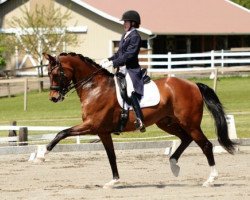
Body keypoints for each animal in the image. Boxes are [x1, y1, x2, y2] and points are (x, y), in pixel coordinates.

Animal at [39, 52, 236, 188]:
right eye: (48, 74)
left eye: (57, 74)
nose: (53, 98)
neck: (94, 87)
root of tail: (193, 84)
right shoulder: (102, 131)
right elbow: (111, 155)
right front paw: (114, 181)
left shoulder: (92, 126)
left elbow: (62, 132)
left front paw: (43, 154)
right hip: (166, 122)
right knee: (186, 139)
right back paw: (173, 165)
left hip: (190, 123)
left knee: (206, 145)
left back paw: (210, 179)